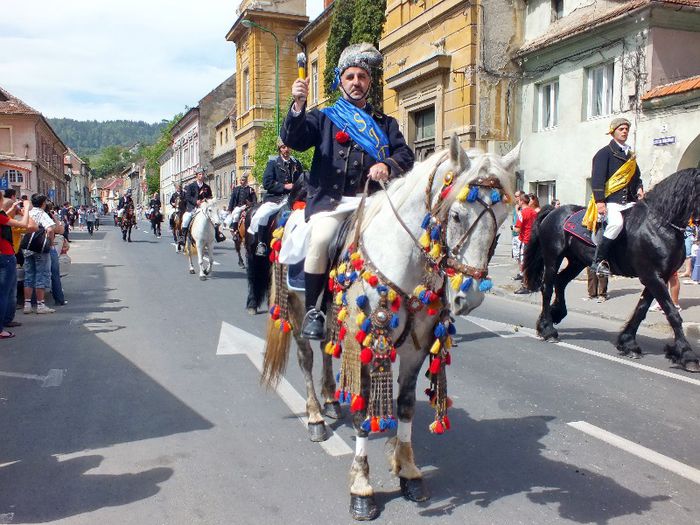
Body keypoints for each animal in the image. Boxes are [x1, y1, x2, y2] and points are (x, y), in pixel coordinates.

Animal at [262, 136, 520, 520]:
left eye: (503, 219)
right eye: (456, 215)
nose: (469, 296)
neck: (404, 260)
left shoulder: (416, 348)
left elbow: (407, 406)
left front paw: (408, 471)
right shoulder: (368, 346)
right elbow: (363, 414)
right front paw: (362, 488)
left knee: (325, 351)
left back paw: (330, 400)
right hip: (295, 310)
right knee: (307, 359)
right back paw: (316, 418)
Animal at [524, 168, 700, 372]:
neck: (659, 225)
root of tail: (554, 211)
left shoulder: (657, 277)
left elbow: (641, 309)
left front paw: (628, 343)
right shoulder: (652, 276)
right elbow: (672, 313)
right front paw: (687, 354)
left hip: (577, 262)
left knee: (560, 282)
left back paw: (555, 315)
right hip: (553, 258)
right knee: (547, 288)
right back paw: (548, 329)